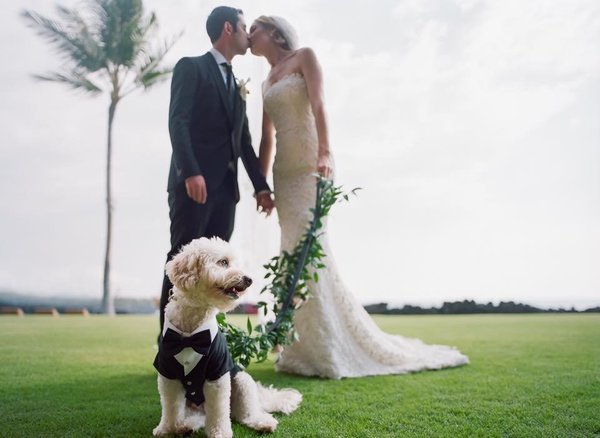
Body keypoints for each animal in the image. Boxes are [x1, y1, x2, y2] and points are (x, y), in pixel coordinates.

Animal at [152, 238, 302, 436]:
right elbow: (170, 407)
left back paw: (263, 422)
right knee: (197, 418)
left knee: (246, 414)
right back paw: (185, 426)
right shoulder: (168, 376)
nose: (249, 279)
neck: (191, 336)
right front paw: (167, 429)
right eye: (223, 262)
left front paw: (220, 433)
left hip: (243, 383)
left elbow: (218, 412)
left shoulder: (217, 377)